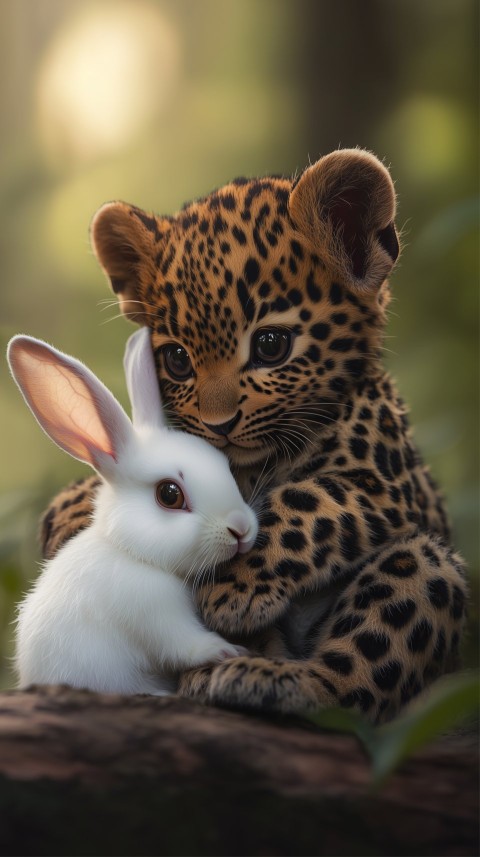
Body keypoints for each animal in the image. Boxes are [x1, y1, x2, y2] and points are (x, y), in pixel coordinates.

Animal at [7, 328, 256, 696]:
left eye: (224, 466)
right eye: (169, 495)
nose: (240, 529)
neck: (134, 555)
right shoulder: (154, 614)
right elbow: (186, 646)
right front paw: (229, 650)